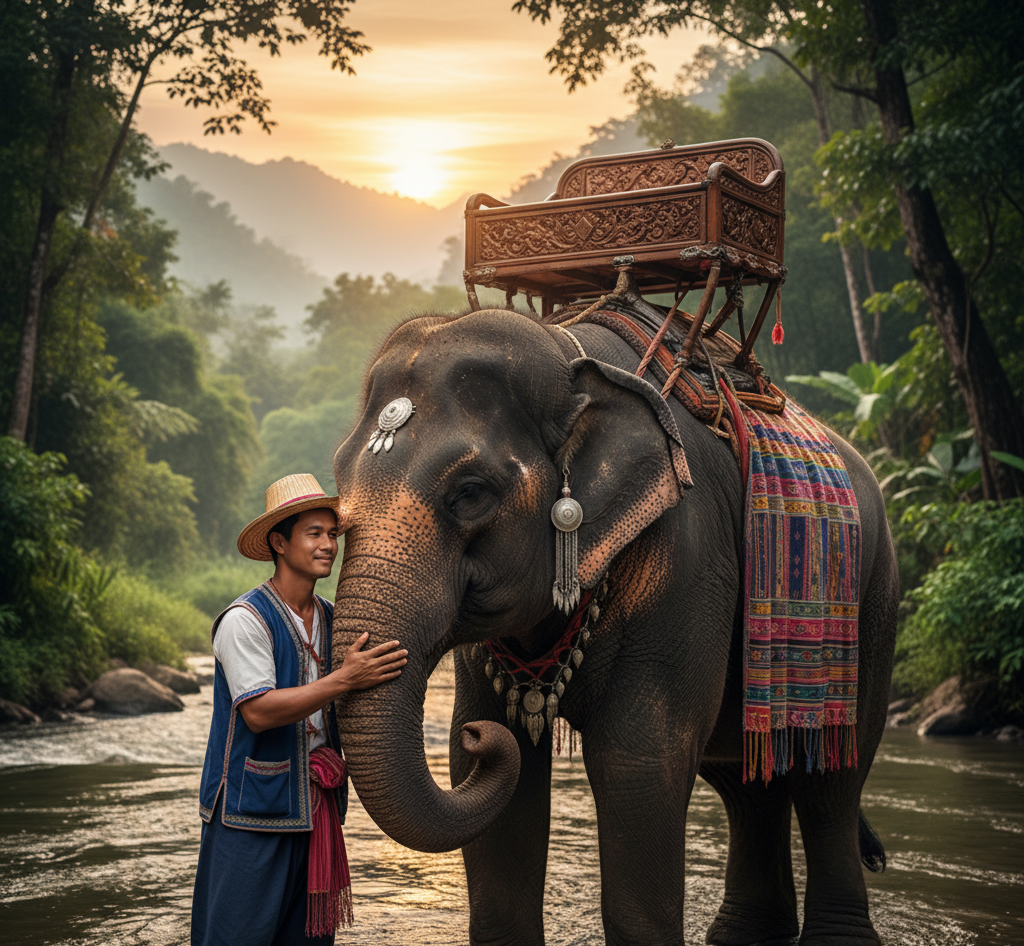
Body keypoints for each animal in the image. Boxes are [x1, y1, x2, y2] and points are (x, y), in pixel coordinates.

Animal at [329, 299, 898, 946]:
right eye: (339, 488)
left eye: (470, 493)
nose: (480, 738)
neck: (566, 349)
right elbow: (503, 785)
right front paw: (487, 733)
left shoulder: (686, 557)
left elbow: (639, 763)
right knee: (748, 781)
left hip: (871, 599)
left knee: (831, 776)